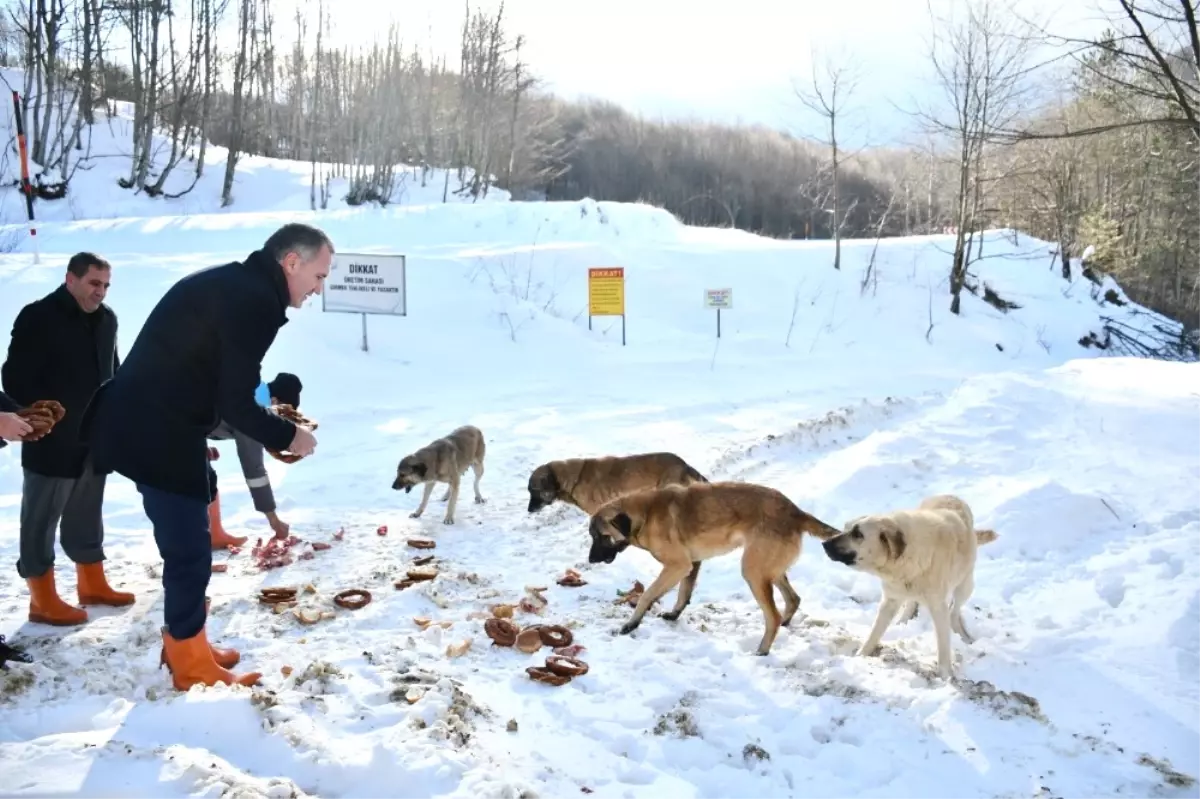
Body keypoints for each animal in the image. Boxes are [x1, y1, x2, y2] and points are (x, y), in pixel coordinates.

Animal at [585, 479, 840, 652]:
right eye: (592, 536)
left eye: (601, 537)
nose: (590, 560)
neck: (645, 514)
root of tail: (796, 511)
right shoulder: (691, 565)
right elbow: (683, 593)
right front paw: (674, 615)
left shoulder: (677, 566)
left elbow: (647, 595)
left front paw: (631, 623)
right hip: (769, 570)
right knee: (793, 599)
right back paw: (785, 625)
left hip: (754, 572)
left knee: (773, 616)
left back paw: (762, 650)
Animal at [820, 494, 998, 676]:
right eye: (846, 528)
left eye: (858, 534)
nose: (825, 543)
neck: (905, 558)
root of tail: (950, 495)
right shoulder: (890, 600)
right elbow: (875, 632)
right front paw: (861, 655)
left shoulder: (938, 607)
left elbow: (943, 644)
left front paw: (945, 674)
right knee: (913, 602)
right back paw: (903, 621)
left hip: (965, 586)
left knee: (954, 611)